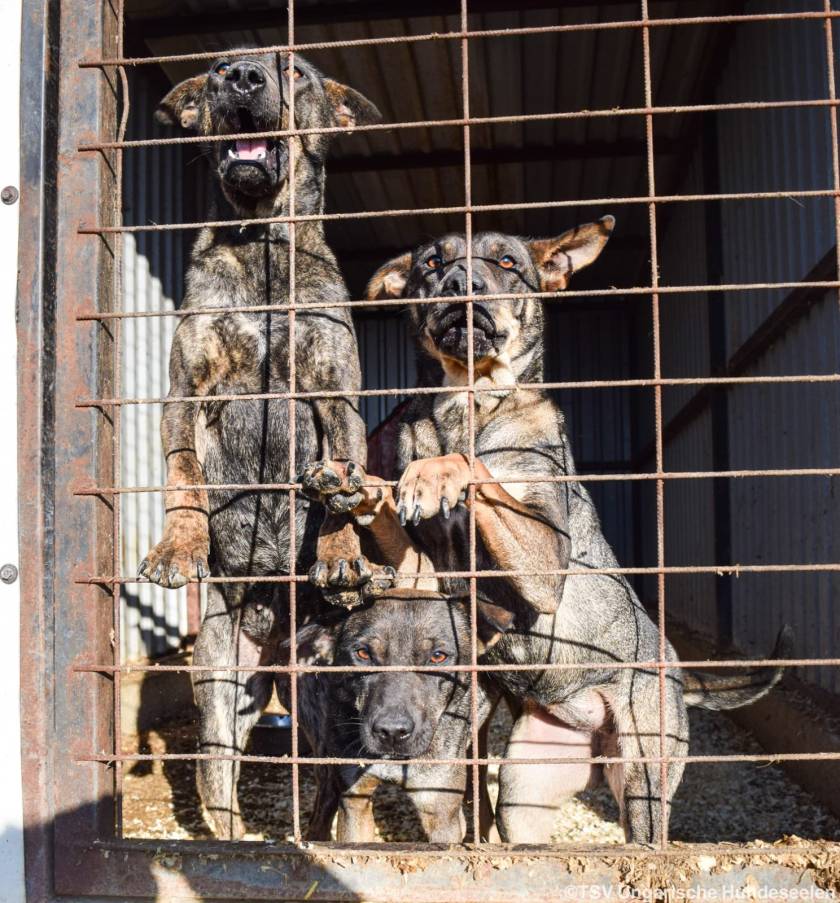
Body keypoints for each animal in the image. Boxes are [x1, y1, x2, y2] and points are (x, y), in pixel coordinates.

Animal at [137, 52, 385, 839]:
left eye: (295, 69)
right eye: (217, 67)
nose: (241, 74)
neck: (263, 244)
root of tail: (277, 645)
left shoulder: (335, 391)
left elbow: (342, 480)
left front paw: (341, 555)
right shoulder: (185, 393)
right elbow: (184, 477)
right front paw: (180, 545)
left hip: (333, 701)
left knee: (340, 787)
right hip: (223, 684)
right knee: (221, 777)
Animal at [315, 219, 791, 845]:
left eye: (508, 263)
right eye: (431, 264)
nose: (461, 282)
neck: (465, 403)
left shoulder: (542, 563)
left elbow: (475, 466)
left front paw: (438, 471)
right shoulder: (425, 569)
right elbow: (389, 501)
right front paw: (356, 490)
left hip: (644, 778)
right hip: (524, 790)